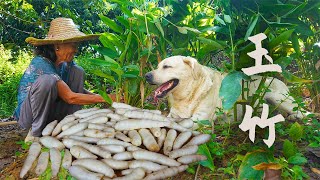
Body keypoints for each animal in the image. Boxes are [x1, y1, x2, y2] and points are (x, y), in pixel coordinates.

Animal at [145, 55, 304, 121]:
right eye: (158, 66)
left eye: (167, 66)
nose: (146, 76)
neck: (188, 95)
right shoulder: (173, 115)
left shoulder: (200, 119)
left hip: (278, 98)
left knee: (303, 113)